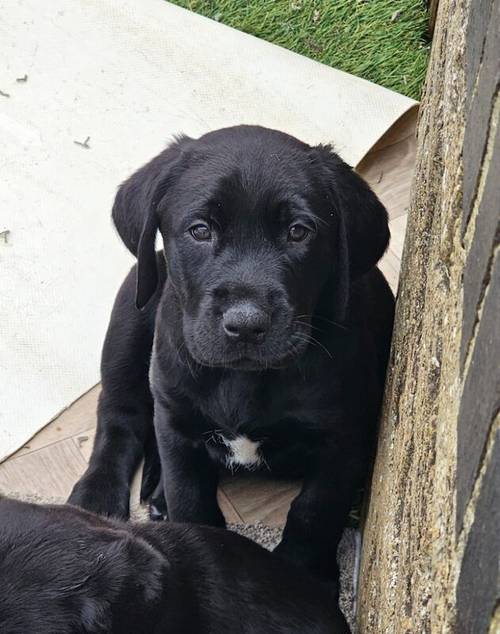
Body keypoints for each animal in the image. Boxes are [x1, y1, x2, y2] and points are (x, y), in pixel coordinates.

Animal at [69, 126, 394, 592]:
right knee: (120, 416)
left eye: (299, 232)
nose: (245, 324)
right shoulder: (175, 423)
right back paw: (95, 498)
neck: (245, 380)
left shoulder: (343, 439)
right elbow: (191, 500)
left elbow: (314, 513)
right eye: (200, 230)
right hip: (132, 308)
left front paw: (302, 581)